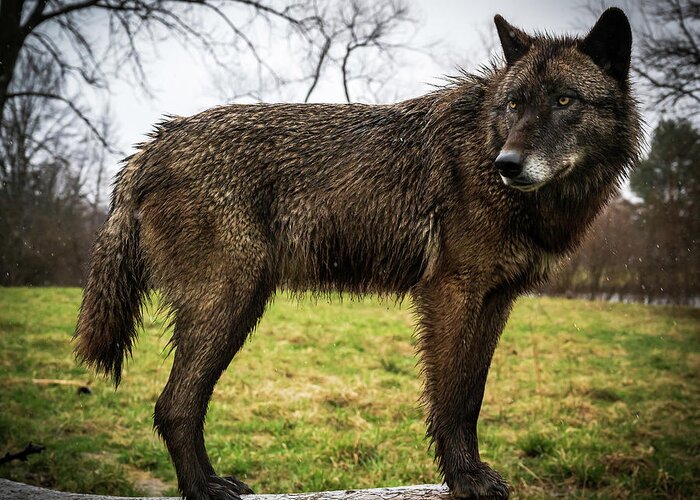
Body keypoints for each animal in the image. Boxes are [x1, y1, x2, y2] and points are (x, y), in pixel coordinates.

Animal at [75, 8, 640, 500]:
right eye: (515, 106)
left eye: (564, 101)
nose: (509, 164)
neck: (485, 147)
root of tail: (152, 145)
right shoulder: (451, 294)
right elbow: (451, 401)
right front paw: (464, 479)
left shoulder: (496, 302)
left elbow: (472, 397)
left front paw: (470, 472)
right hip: (230, 305)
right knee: (174, 406)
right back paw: (204, 488)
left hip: (238, 307)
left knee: (176, 404)